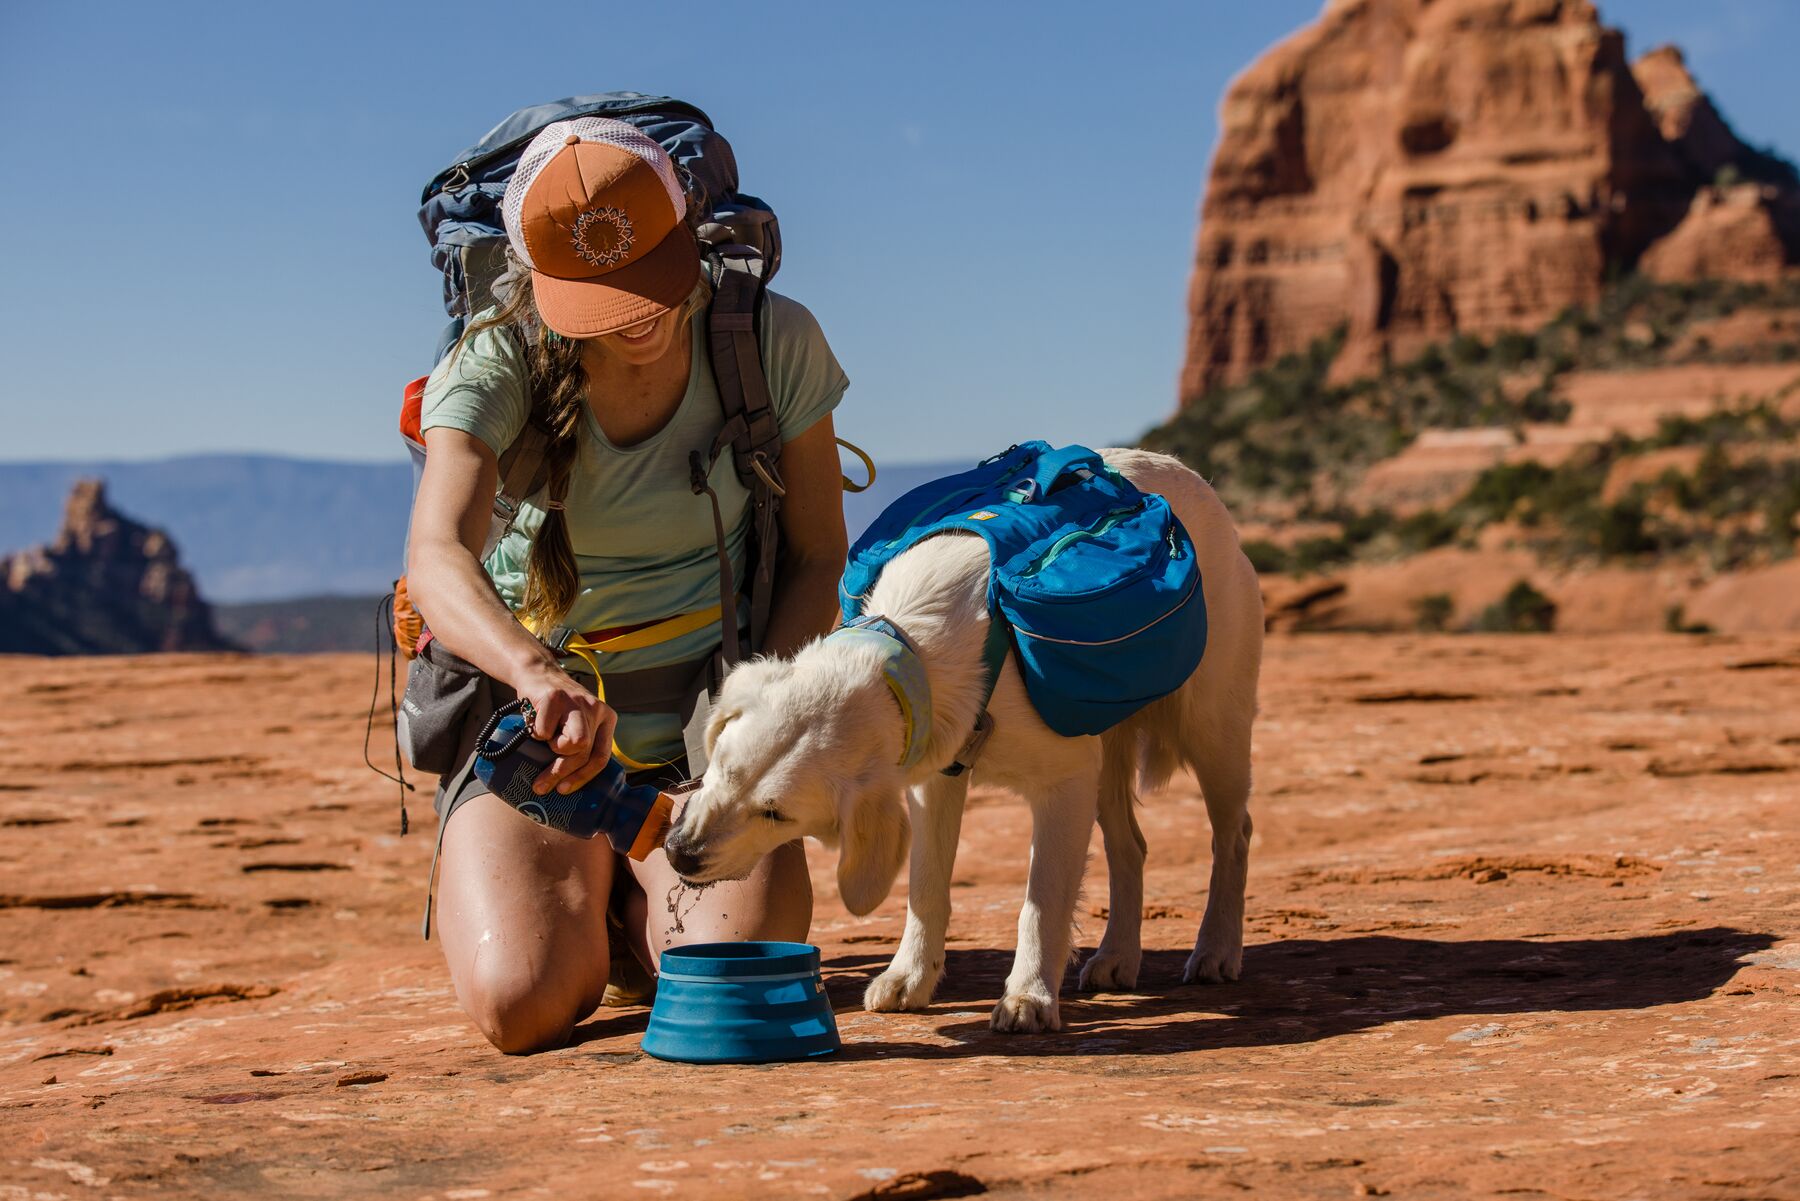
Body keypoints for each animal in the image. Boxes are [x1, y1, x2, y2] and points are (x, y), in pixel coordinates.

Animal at [662, 450, 1267, 1037]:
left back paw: (1216, 948)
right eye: (722, 767)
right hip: (1104, 750)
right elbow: (926, 886)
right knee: (1131, 847)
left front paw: (1028, 996)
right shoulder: (935, 776)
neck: (914, 645)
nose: (678, 854)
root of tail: (1191, 476)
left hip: (1211, 727)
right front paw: (910, 976)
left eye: (776, 814)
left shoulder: (1062, 783)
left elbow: (1041, 902)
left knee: (1233, 835)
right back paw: (1118, 956)